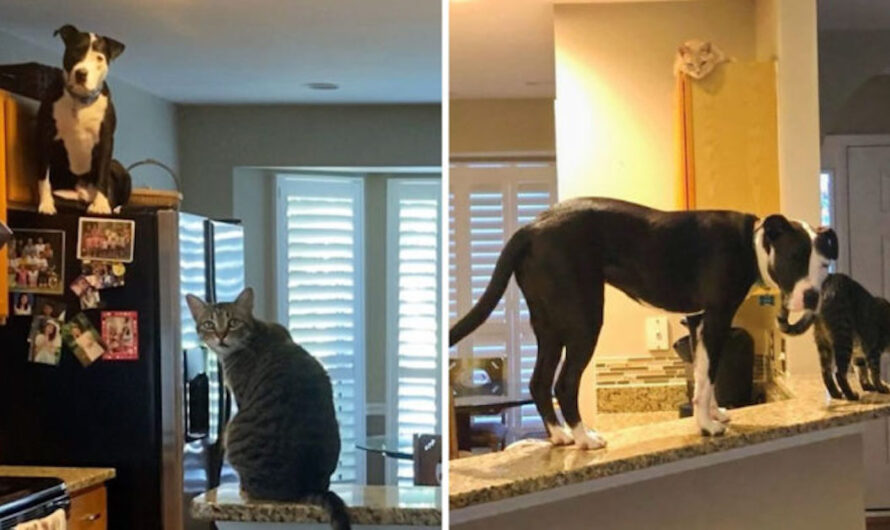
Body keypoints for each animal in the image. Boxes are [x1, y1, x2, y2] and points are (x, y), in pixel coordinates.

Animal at [36, 24, 131, 214]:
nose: (81, 73)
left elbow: (102, 173)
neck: (80, 100)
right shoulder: (45, 135)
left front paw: (101, 205)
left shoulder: (106, 140)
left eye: (99, 58)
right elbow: (44, 176)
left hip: (122, 171)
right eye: (75, 51)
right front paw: (46, 203)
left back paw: (115, 208)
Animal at [450, 198, 840, 446]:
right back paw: (584, 438)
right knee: (564, 383)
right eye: (794, 258)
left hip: (549, 327)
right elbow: (707, 378)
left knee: (539, 382)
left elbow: (705, 378)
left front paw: (714, 413)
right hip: (583, 320)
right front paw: (707, 427)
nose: (812, 297)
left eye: (824, 265)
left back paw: (560, 436)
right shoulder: (716, 318)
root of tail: (532, 227)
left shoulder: (698, 323)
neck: (751, 245)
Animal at [772, 272, 888, 400]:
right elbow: (875, 373)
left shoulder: (859, 354)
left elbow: (862, 372)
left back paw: (836, 394)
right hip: (844, 337)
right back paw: (851, 395)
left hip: (823, 343)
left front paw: (868, 386)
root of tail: (827, 283)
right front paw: (880, 388)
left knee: (826, 374)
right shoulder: (873, 350)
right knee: (839, 374)